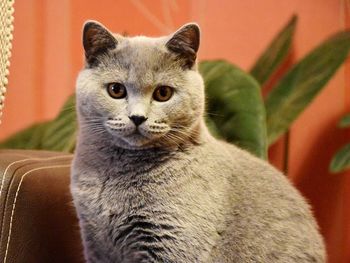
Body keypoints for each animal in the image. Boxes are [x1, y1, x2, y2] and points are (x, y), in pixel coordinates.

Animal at [69, 21, 326, 263]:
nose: (137, 117)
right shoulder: (95, 243)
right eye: (116, 90)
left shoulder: (171, 244)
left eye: (163, 93)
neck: (113, 174)